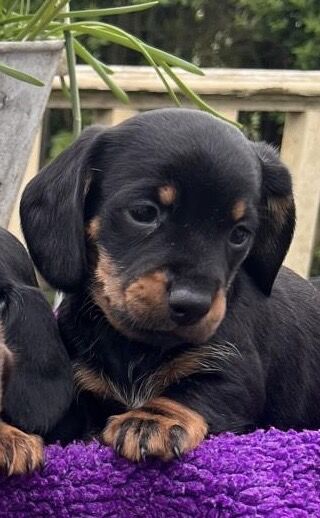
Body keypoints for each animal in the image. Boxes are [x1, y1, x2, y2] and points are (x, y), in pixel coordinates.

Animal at [19, 108, 320, 464]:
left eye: (240, 234)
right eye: (143, 213)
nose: (193, 304)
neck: (136, 347)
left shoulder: (232, 373)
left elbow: (192, 391)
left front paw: (151, 420)